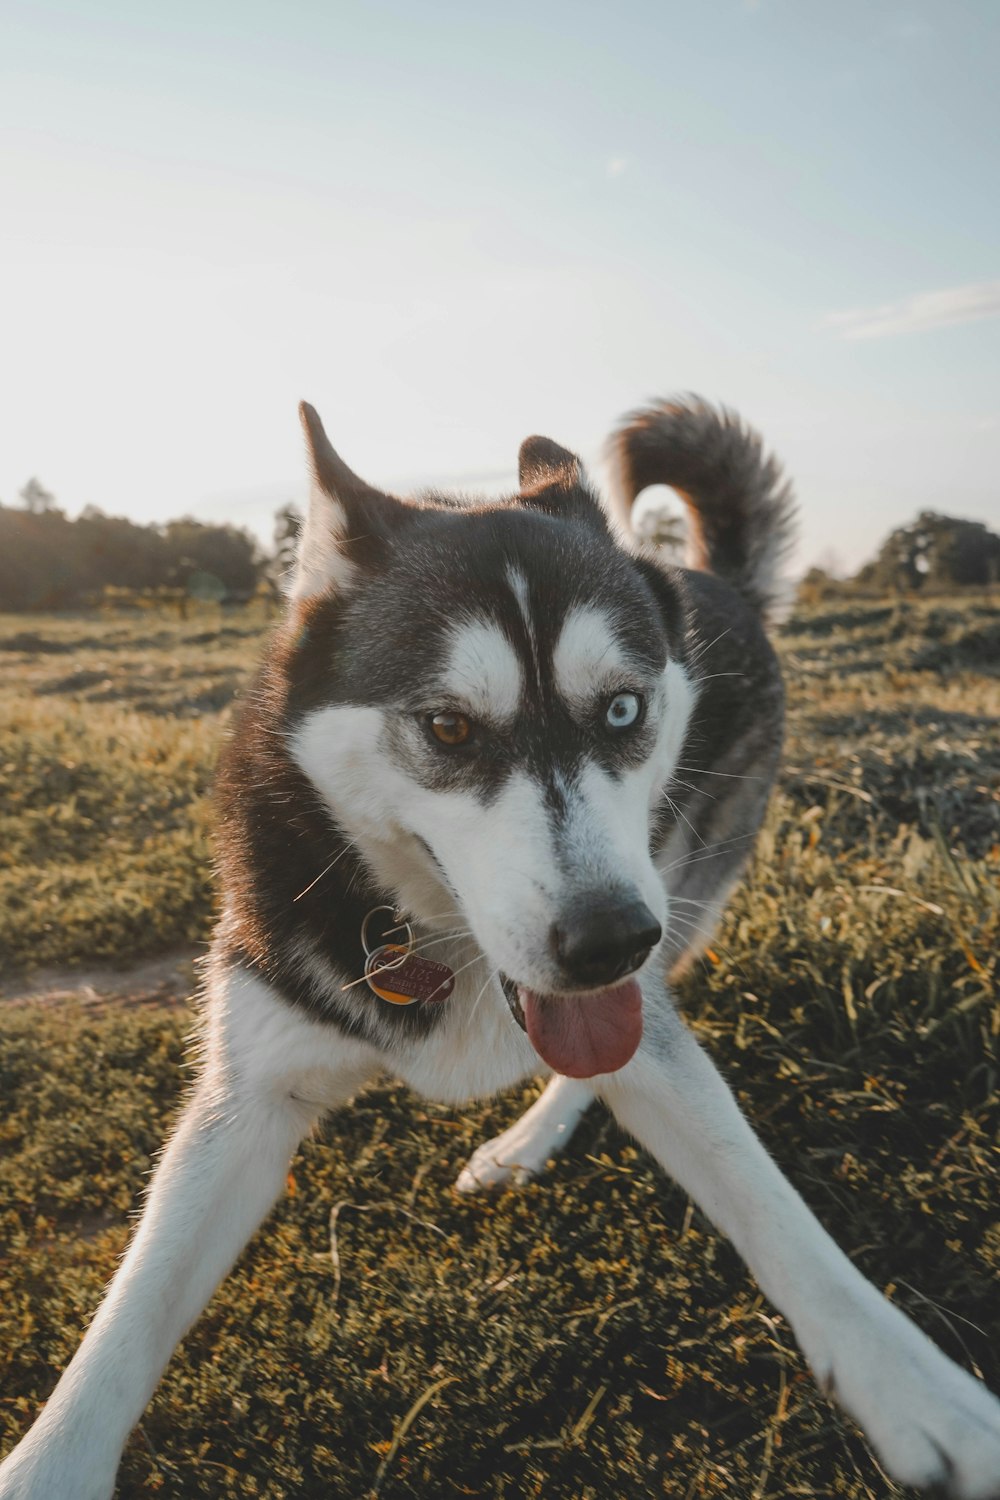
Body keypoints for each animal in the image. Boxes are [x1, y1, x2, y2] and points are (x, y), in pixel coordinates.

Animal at [1, 402, 1000, 1500]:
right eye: (446, 726)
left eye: (623, 708)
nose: (609, 941)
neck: (436, 940)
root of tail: (716, 581)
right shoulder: (247, 1090)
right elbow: (131, 1310)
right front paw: (51, 1460)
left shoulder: (649, 983)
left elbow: (771, 1207)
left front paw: (915, 1387)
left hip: (688, 883)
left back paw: (526, 1140)